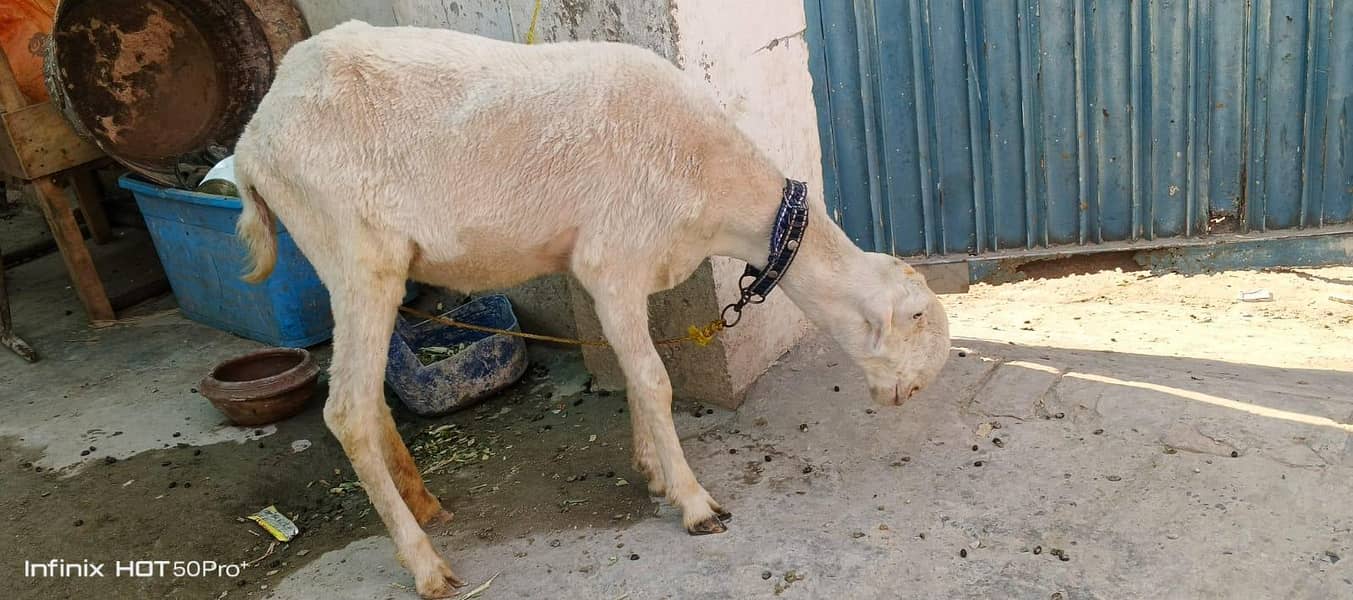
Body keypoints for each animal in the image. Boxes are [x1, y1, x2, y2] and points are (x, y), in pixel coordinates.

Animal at [233, 20, 950, 599]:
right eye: (916, 321)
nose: (910, 393)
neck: (717, 186)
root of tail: (253, 137)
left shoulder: (623, 271)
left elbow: (637, 376)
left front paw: (652, 473)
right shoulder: (614, 261)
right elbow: (656, 380)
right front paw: (695, 504)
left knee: (370, 396)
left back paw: (426, 503)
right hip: (356, 253)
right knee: (346, 411)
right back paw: (426, 565)